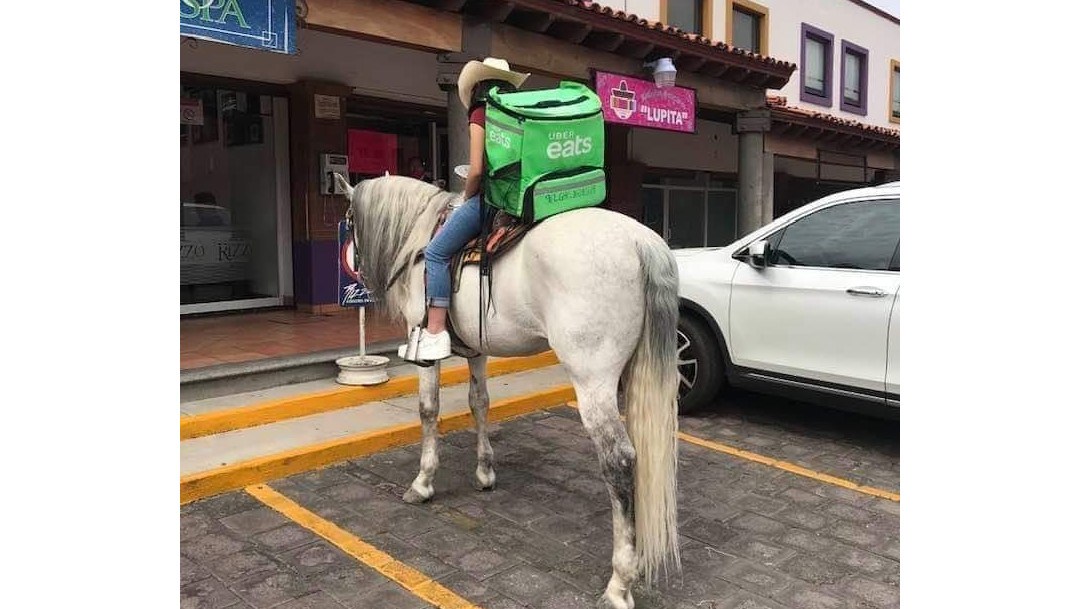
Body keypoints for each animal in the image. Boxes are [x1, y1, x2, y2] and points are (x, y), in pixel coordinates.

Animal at [332, 173, 678, 604]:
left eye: (349, 221)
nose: (356, 269)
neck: (419, 239)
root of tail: (639, 241)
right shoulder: (477, 348)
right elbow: (479, 402)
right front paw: (484, 473)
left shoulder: (423, 343)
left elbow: (428, 410)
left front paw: (423, 482)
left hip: (593, 382)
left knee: (621, 461)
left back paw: (619, 583)